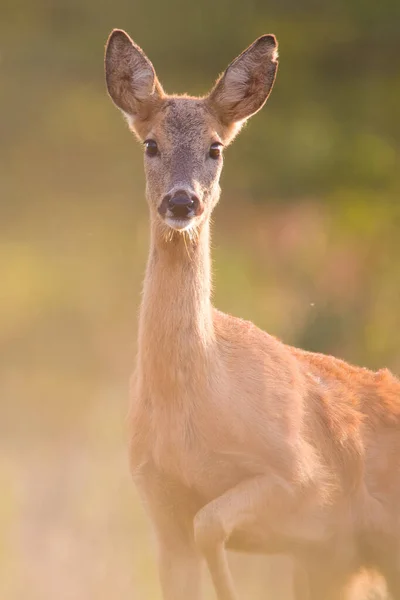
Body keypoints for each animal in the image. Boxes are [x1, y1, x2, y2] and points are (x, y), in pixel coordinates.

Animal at [104, 29, 400, 600]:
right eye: (151, 144)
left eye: (215, 147)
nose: (181, 202)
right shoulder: (160, 506)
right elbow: (194, 541)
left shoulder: (302, 479)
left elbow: (211, 523)